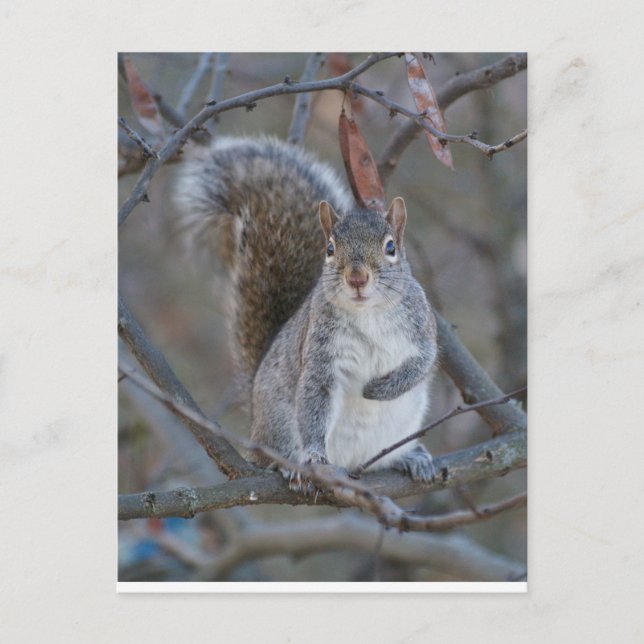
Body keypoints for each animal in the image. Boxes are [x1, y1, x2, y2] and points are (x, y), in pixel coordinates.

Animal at [175, 136, 438, 490]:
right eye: (329, 249)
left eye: (391, 247)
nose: (357, 278)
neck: (368, 313)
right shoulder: (321, 354)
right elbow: (315, 399)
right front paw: (314, 455)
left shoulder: (423, 328)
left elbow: (422, 364)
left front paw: (379, 390)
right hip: (280, 426)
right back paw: (292, 468)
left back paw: (412, 458)